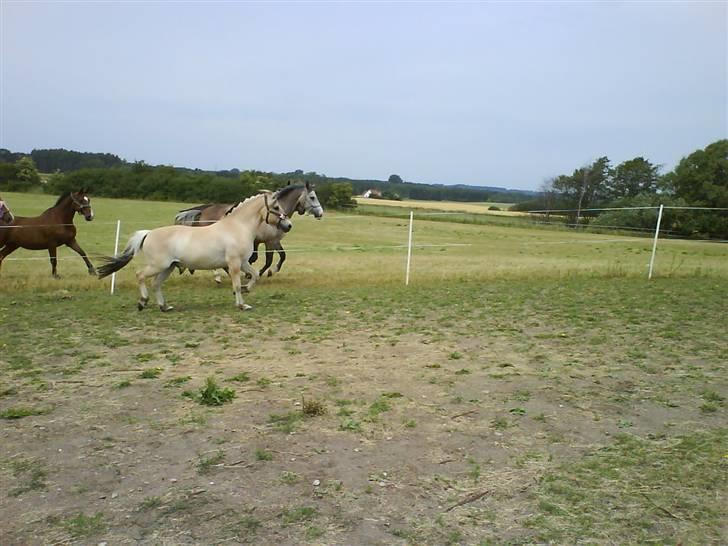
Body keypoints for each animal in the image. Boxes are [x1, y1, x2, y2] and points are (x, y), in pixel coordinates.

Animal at [98, 192, 292, 310]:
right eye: (276, 208)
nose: (288, 225)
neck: (237, 227)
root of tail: (148, 233)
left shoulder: (243, 262)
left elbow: (255, 276)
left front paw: (246, 290)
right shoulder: (234, 263)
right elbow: (237, 283)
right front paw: (242, 305)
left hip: (168, 267)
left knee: (156, 284)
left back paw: (164, 307)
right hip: (158, 265)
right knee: (140, 275)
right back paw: (143, 302)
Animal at [175, 182, 322, 282]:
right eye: (312, 197)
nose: (320, 213)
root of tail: (205, 209)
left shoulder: (272, 241)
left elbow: (281, 256)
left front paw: (265, 272)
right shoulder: (269, 241)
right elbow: (269, 260)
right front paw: (264, 272)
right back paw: (218, 276)